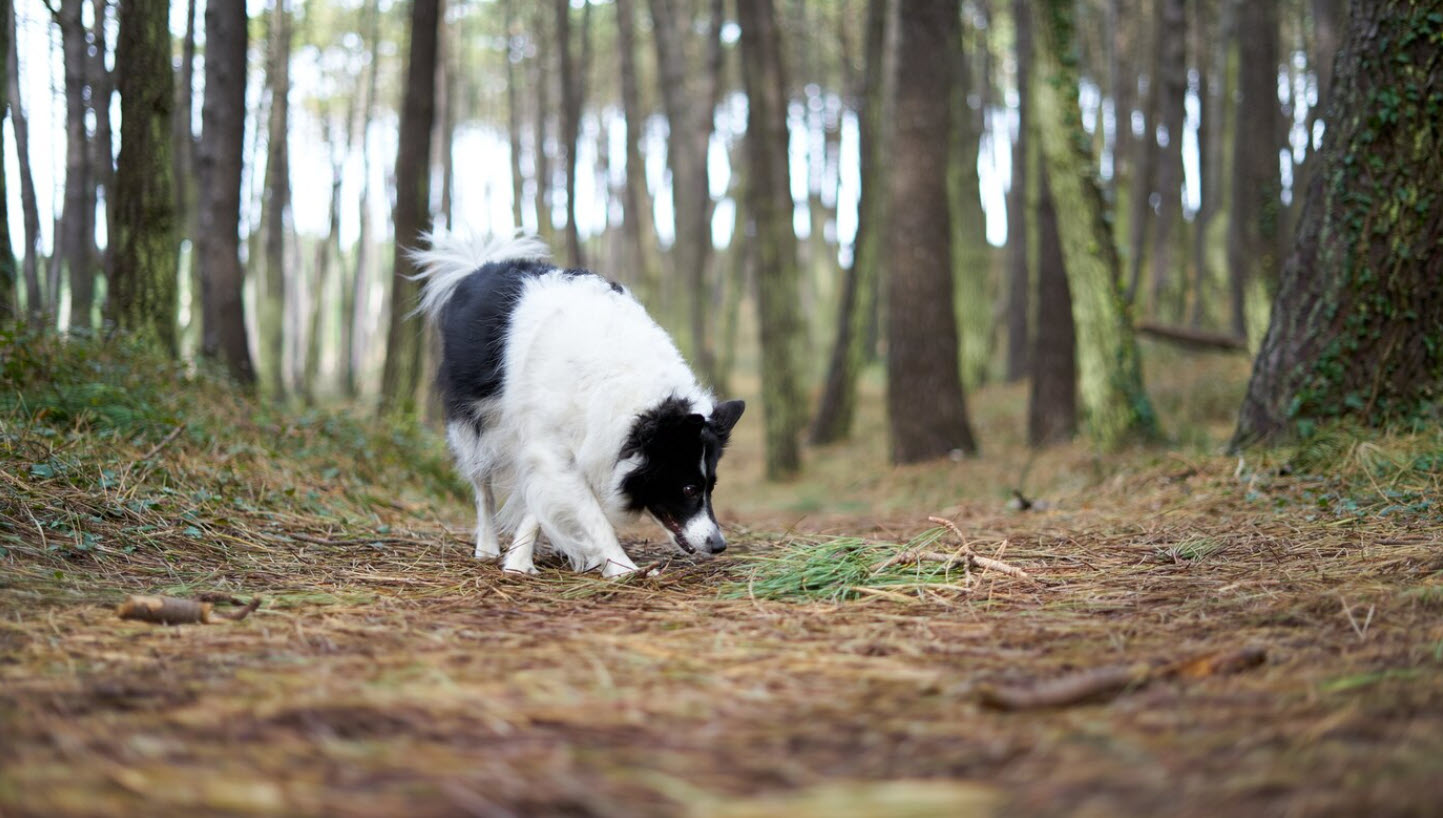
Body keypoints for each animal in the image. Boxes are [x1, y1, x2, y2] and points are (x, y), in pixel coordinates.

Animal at [406, 230, 744, 577]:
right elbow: (592, 515)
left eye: (712, 487)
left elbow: (542, 502)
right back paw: (486, 546)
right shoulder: (551, 446)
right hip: (474, 425)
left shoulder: (561, 447)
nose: (719, 545)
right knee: (482, 489)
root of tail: (480, 266)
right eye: (689, 489)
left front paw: (521, 559)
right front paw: (622, 567)